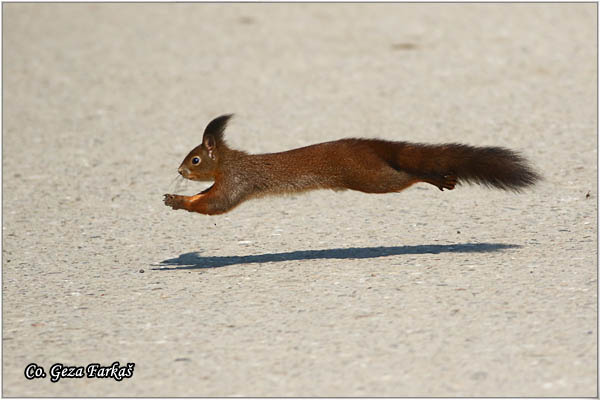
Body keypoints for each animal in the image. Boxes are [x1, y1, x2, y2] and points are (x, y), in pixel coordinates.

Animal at [163, 115, 540, 216]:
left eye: (195, 158)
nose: (180, 172)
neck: (228, 162)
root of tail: (372, 146)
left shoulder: (237, 181)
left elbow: (216, 204)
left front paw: (178, 200)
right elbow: (208, 197)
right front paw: (176, 198)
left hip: (370, 177)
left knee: (406, 176)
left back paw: (438, 178)